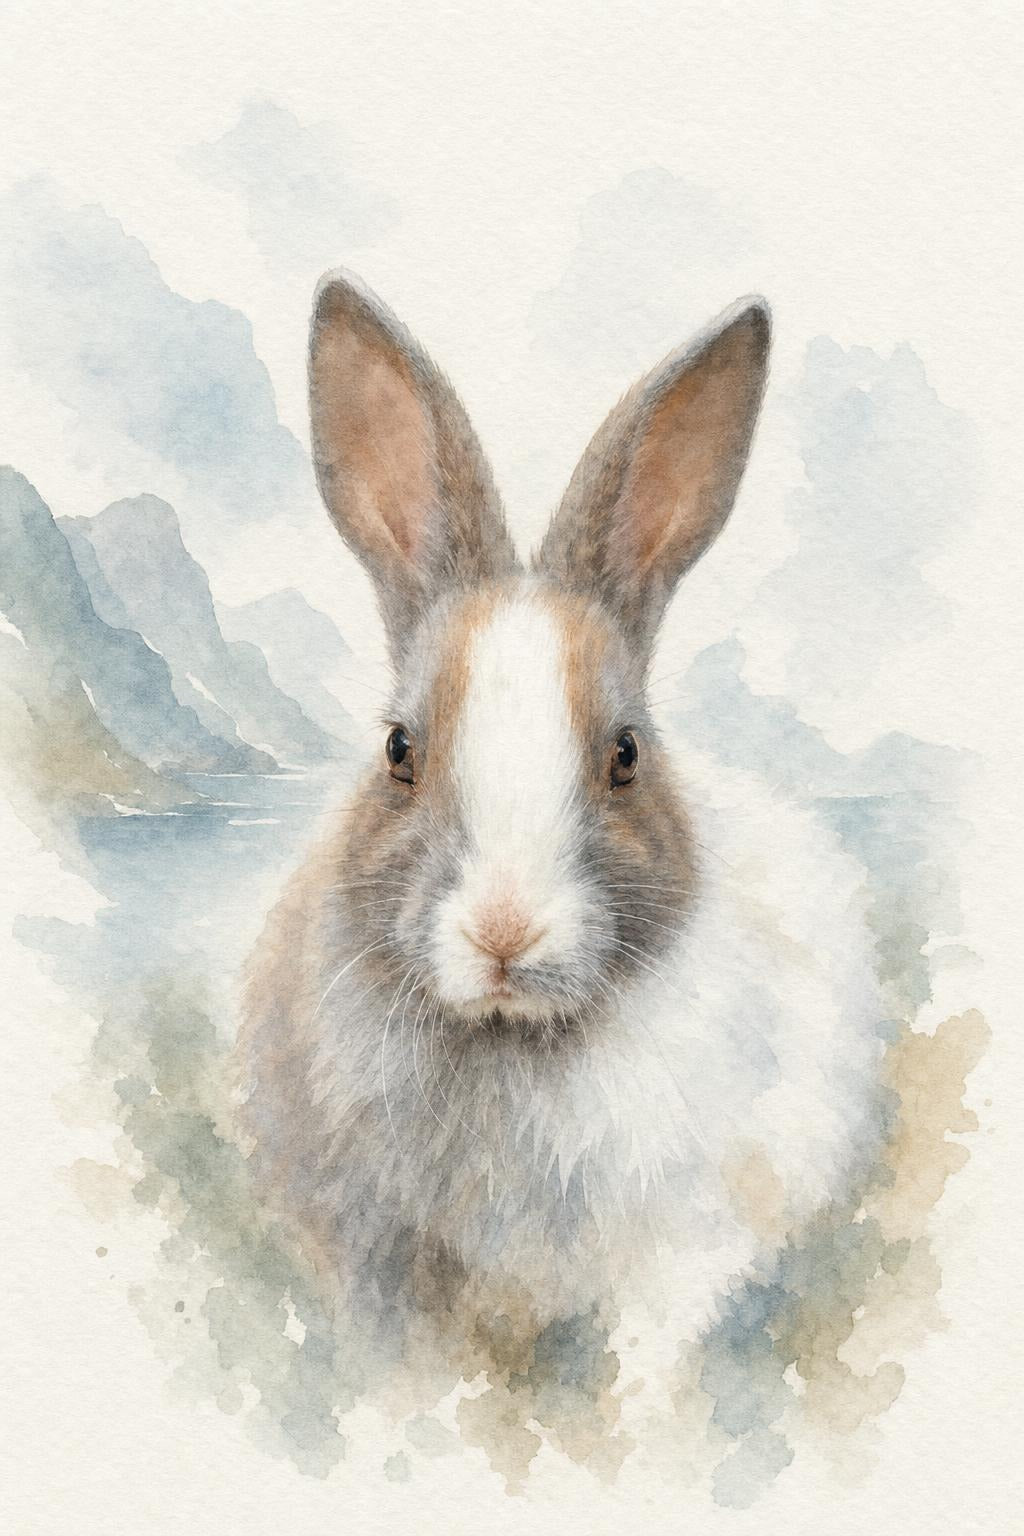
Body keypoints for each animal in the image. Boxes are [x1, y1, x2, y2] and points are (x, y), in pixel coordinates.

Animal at [236, 272, 883, 1349]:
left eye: (626, 754)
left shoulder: (686, 1247)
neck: (509, 1037)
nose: (506, 930)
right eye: (398, 750)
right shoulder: (369, 1253)